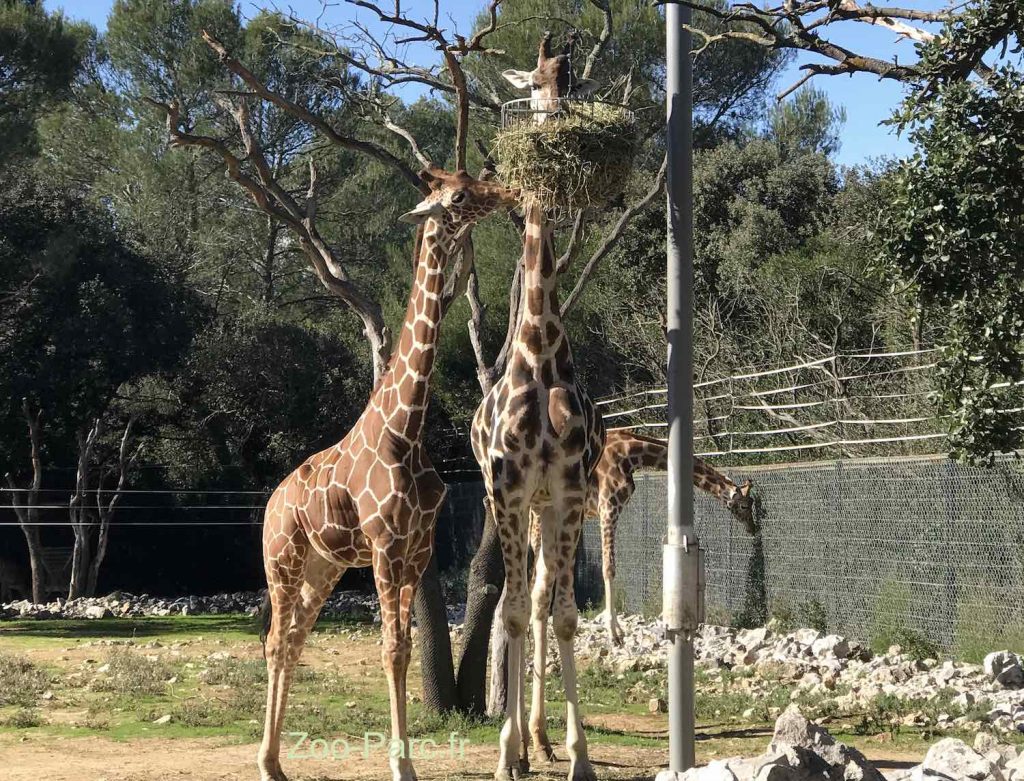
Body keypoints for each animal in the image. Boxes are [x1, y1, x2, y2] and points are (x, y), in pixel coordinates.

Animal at [585, 429, 753, 642]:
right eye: (745, 505)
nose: (753, 528)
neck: (630, 454)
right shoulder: (608, 506)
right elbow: (608, 568)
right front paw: (614, 632)